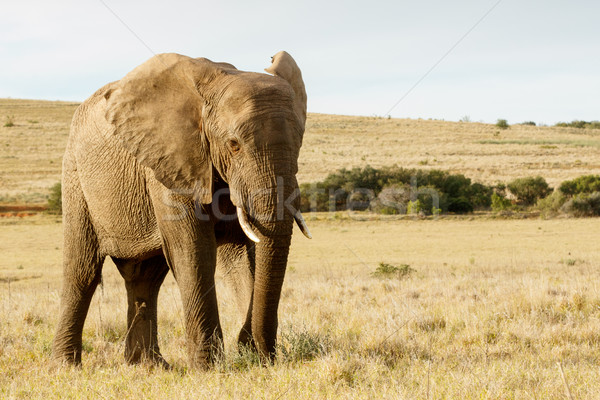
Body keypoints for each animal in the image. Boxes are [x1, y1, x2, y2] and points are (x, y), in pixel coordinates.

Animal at [52, 51, 310, 368]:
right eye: (234, 144)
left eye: (300, 142)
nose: (260, 351)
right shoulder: (172, 161)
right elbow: (194, 251)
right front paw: (208, 368)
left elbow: (242, 254)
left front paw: (251, 357)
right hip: (75, 176)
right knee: (82, 271)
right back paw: (65, 366)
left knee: (145, 278)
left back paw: (148, 366)